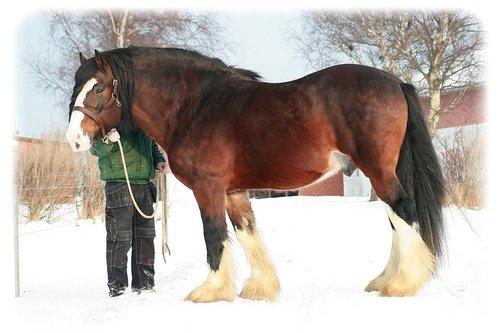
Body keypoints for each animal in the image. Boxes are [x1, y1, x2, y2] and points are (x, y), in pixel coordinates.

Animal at [65, 46, 446, 300]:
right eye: (76, 85)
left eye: (98, 88)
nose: (74, 140)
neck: (193, 106)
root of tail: (394, 82)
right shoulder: (233, 191)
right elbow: (246, 231)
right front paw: (259, 287)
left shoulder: (208, 188)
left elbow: (213, 233)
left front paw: (210, 291)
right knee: (395, 219)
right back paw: (385, 280)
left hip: (378, 170)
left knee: (403, 211)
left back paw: (403, 283)